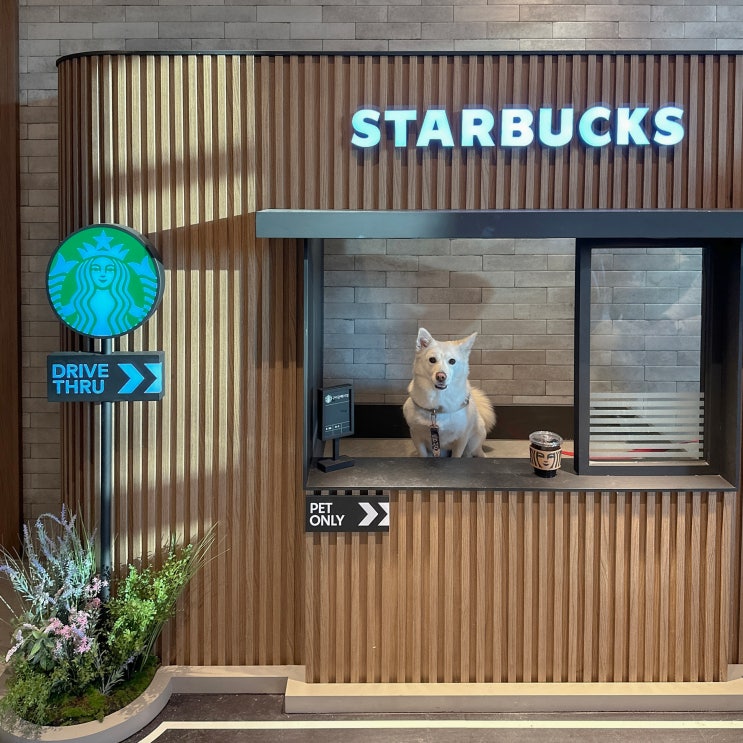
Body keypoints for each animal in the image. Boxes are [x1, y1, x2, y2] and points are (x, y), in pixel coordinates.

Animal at [402, 328, 496, 457]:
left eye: (452, 361)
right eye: (432, 360)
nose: (441, 376)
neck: (438, 404)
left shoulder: (462, 438)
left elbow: (457, 455)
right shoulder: (416, 435)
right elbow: (423, 454)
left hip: (475, 439)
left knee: (472, 453)